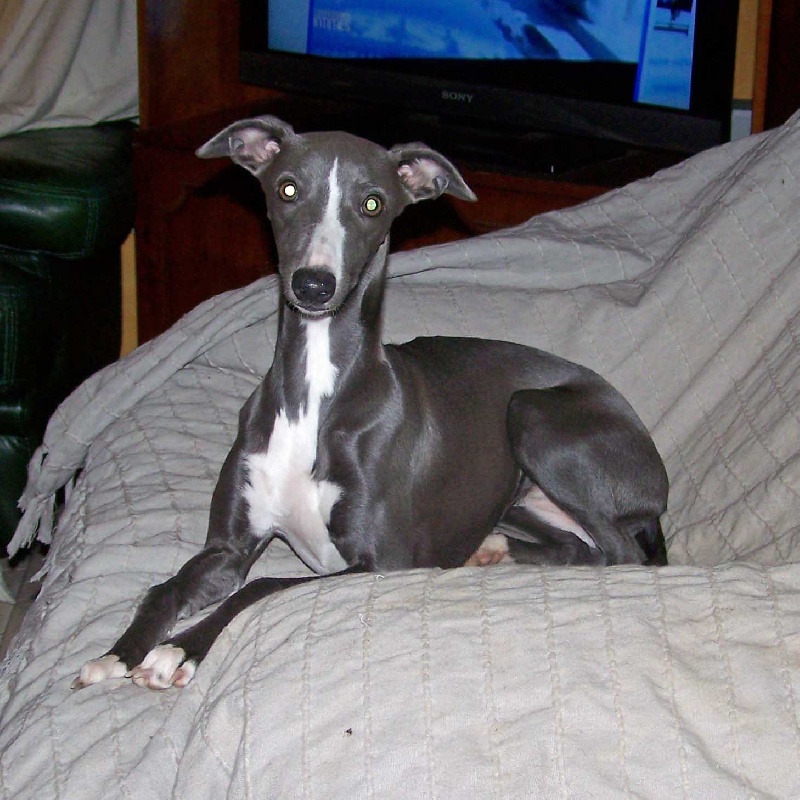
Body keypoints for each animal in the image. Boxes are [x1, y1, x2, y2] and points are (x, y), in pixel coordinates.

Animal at [73, 115, 668, 690]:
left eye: (372, 203)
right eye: (288, 188)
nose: (313, 285)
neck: (313, 396)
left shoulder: (380, 563)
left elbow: (263, 585)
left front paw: (177, 650)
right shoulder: (229, 549)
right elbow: (166, 586)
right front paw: (117, 653)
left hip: (530, 414)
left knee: (623, 557)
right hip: (518, 493)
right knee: (577, 550)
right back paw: (489, 551)